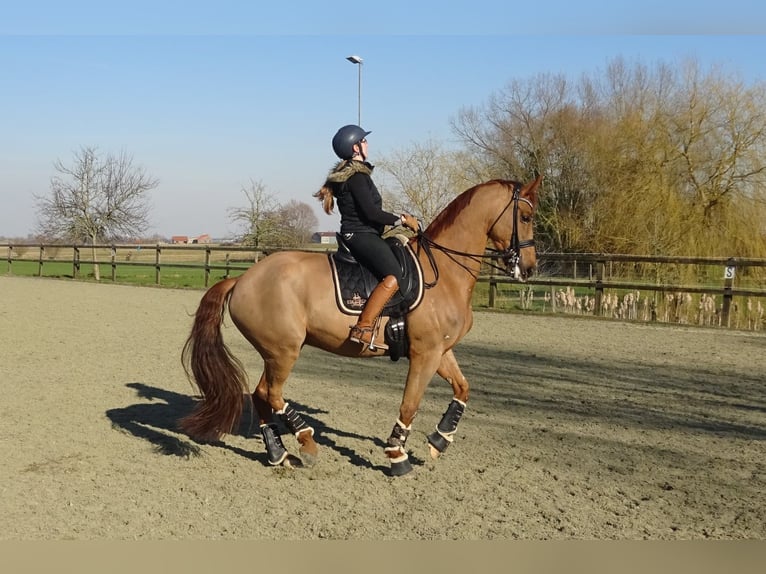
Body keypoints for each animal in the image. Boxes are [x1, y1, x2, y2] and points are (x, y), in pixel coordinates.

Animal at [180, 178, 544, 480]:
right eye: (526, 217)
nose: (529, 269)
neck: (443, 273)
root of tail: (243, 279)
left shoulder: (441, 350)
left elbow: (463, 389)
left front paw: (440, 439)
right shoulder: (425, 354)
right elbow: (410, 404)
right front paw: (397, 456)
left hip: (276, 353)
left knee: (260, 395)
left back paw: (279, 454)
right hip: (283, 351)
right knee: (271, 393)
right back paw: (307, 443)